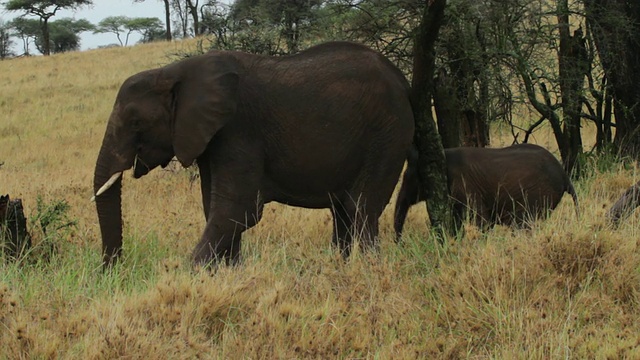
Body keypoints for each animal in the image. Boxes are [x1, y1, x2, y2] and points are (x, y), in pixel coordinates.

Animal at [95, 41, 416, 268]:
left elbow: (237, 209)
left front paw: (188, 275)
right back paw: (343, 266)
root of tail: (402, 78)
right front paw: (227, 273)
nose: (114, 270)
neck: (175, 72)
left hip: (387, 133)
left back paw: (370, 268)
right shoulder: (210, 136)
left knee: (361, 207)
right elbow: (215, 207)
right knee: (343, 211)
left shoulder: (239, 129)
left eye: (136, 123)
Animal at [396, 143, 580, 239]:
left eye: (409, 180)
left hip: (539, 193)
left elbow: (482, 221)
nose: (400, 243)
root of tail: (565, 176)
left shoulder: (466, 186)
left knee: (524, 224)